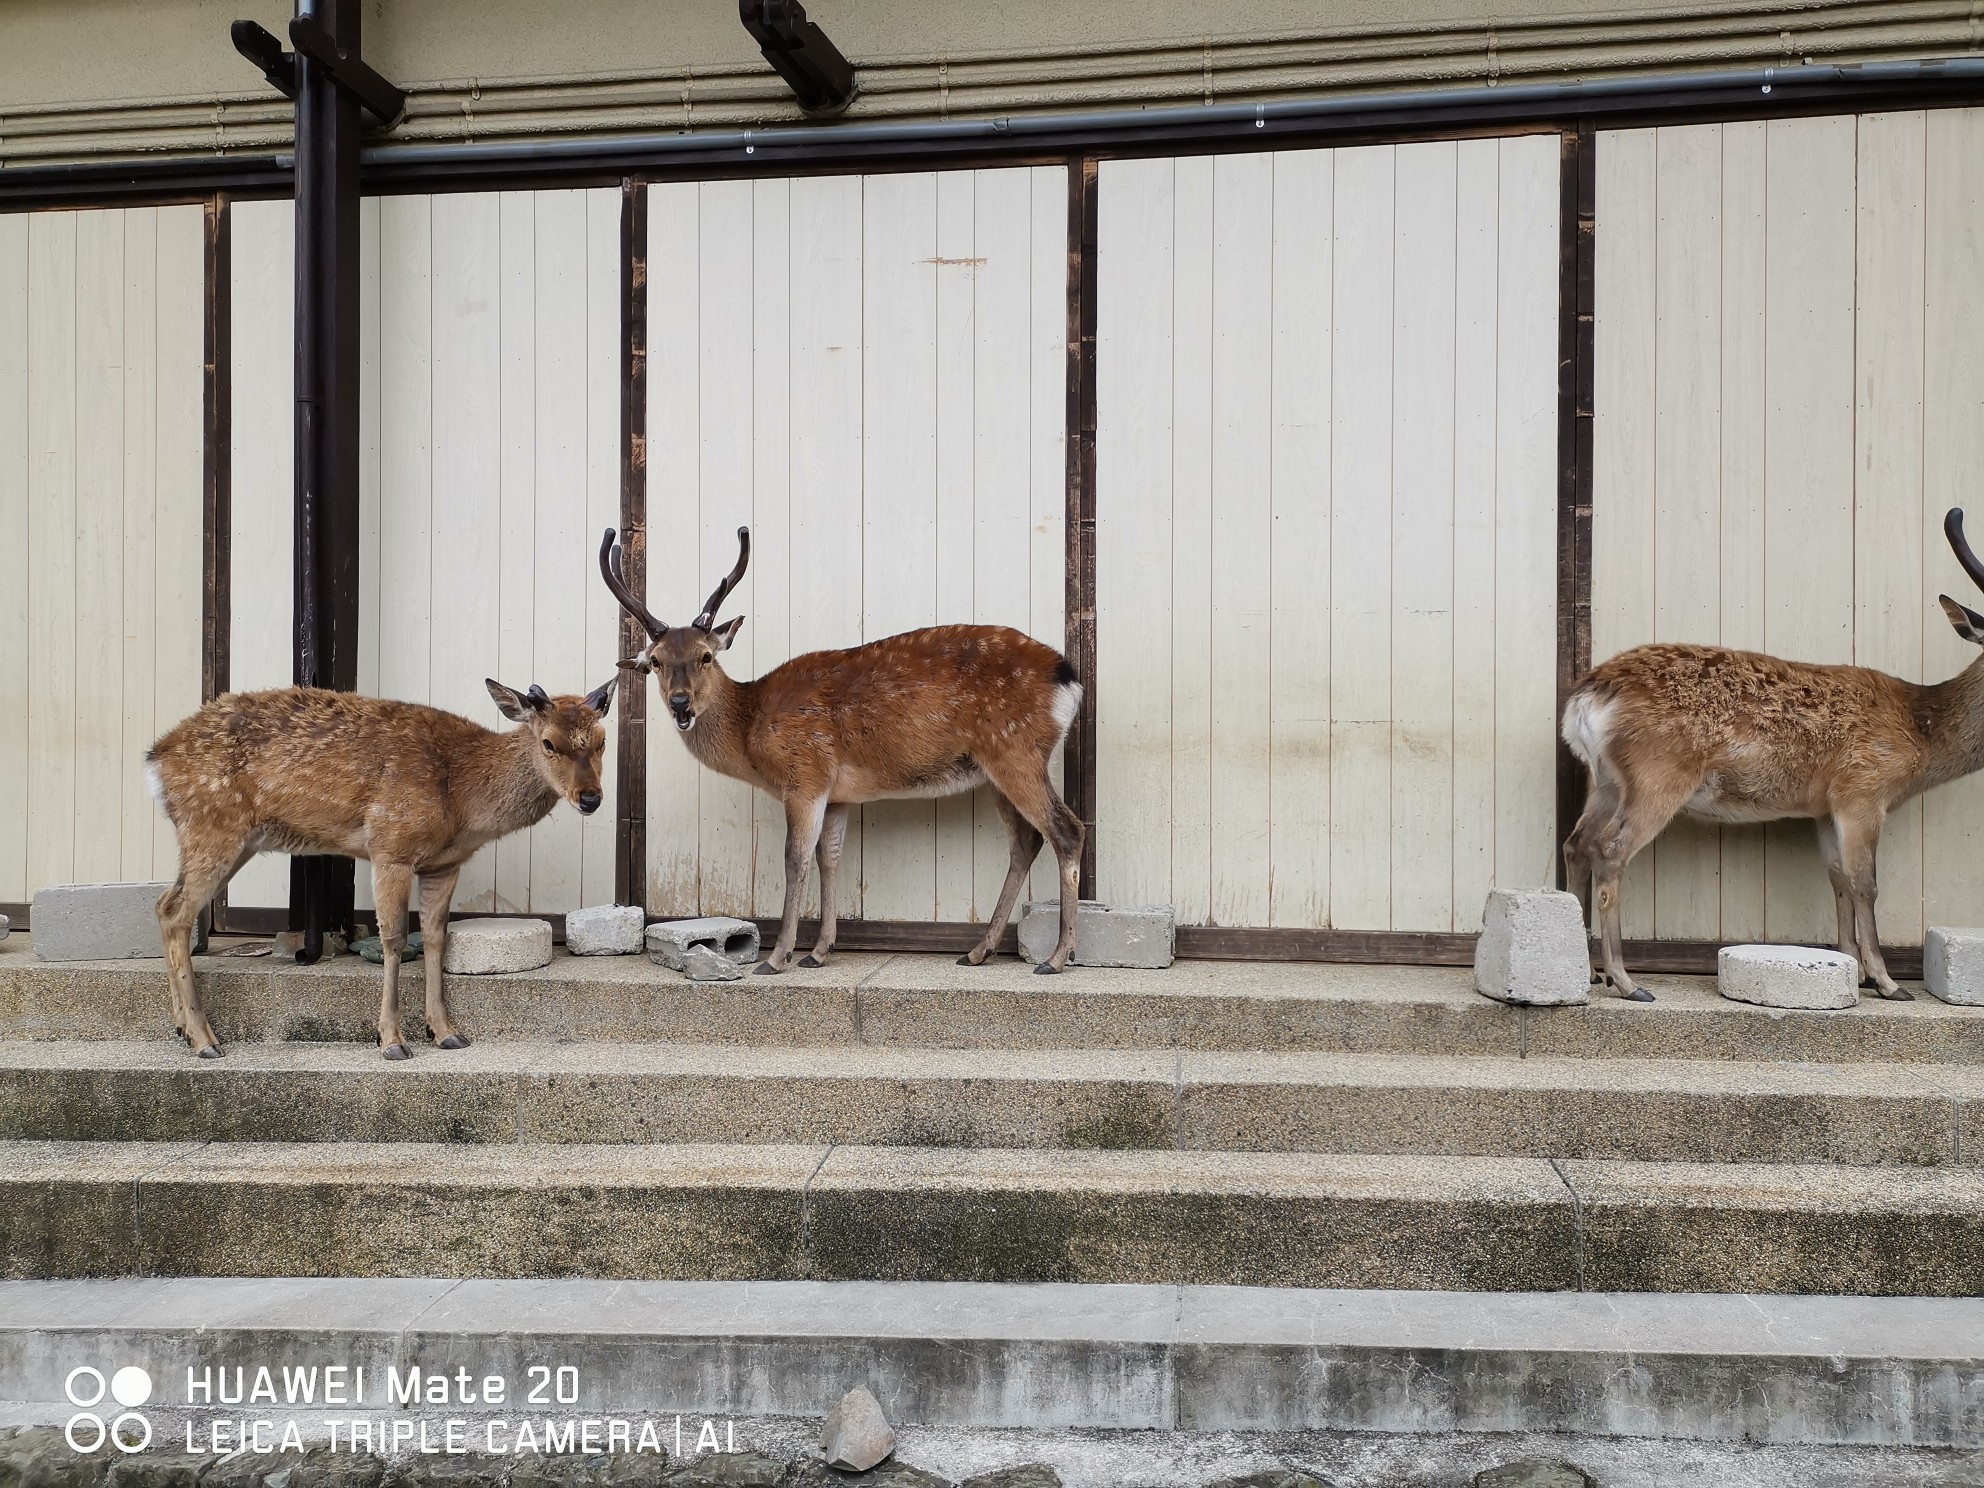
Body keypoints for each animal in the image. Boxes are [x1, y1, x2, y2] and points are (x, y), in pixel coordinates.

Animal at [147, 678, 615, 1063]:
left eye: (602, 740)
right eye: (549, 743)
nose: (590, 797)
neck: (464, 802)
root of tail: (155, 759)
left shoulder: (445, 864)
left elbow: (435, 938)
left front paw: (445, 1032)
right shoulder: (391, 845)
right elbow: (393, 939)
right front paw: (391, 1040)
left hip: (235, 840)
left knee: (166, 905)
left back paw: (183, 1029)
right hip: (211, 823)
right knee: (176, 911)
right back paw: (205, 1039)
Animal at [599, 527, 1087, 980]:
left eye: (705, 656)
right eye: (656, 661)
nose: (681, 704)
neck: (751, 729)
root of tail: (1068, 678)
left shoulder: (805, 774)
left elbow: (795, 858)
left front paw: (777, 958)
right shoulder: (838, 795)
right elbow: (829, 857)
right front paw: (818, 952)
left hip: (1016, 750)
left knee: (1067, 829)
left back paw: (1056, 958)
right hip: (996, 769)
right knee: (1026, 841)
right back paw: (977, 951)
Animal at [1555, 507, 1984, 1007]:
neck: (1920, 733)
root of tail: (1588, 694)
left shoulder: (1824, 808)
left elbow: (1838, 880)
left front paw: (1852, 970)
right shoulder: (1862, 789)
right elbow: (1866, 883)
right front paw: (1888, 982)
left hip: (1605, 779)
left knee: (1577, 843)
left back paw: (1588, 972)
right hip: (1658, 774)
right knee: (1610, 848)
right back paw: (1626, 982)